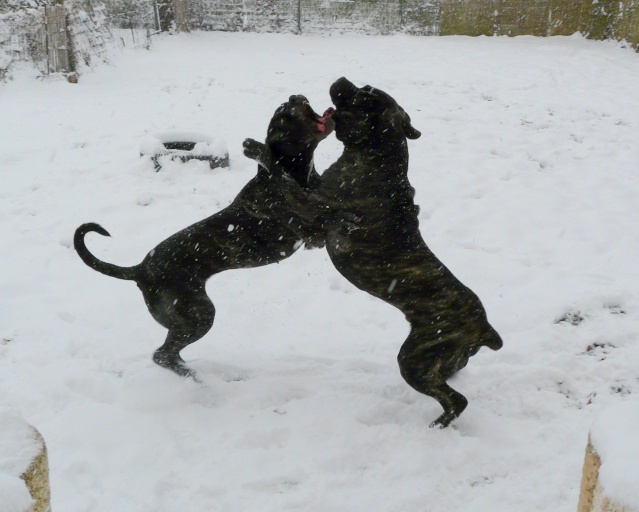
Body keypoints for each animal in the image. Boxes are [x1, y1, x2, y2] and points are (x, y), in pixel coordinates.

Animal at [74, 95, 336, 380]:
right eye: (283, 113)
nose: (293, 97)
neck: (299, 171)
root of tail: (141, 270)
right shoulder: (311, 234)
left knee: (169, 354)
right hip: (198, 314)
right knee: (162, 354)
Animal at [242, 77, 502, 428]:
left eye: (364, 95)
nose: (342, 80)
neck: (377, 159)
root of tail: (483, 327)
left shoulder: (312, 209)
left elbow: (282, 176)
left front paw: (258, 149)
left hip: (414, 360)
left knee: (455, 400)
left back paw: (435, 427)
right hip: (441, 360)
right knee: (450, 381)